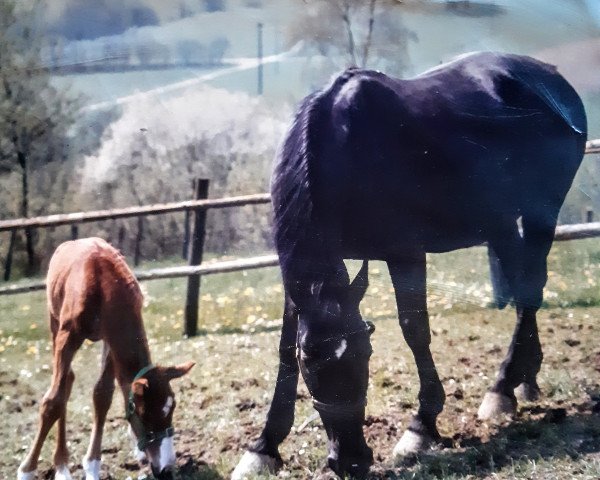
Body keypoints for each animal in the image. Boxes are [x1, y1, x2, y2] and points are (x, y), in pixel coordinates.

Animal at [17, 238, 195, 480]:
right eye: (144, 413)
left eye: (172, 407)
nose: (166, 470)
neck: (105, 284)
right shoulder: (67, 336)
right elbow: (53, 401)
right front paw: (27, 470)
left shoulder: (111, 341)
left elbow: (102, 396)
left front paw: (92, 466)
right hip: (54, 322)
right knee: (64, 384)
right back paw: (62, 467)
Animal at [231, 52, 584, 480]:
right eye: (309, 364)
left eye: (366, 354)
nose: (350, 461)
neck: (343, 150)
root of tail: (551, 77)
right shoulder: (300, 286)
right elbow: (283, 347)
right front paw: (263, 446)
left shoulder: (405, 253)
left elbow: (414, 330)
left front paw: (421, 427)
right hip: (499, 223)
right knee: (522, 289)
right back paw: (523, 381)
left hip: (541, 212)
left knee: (531, 287)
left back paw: (502, 388)